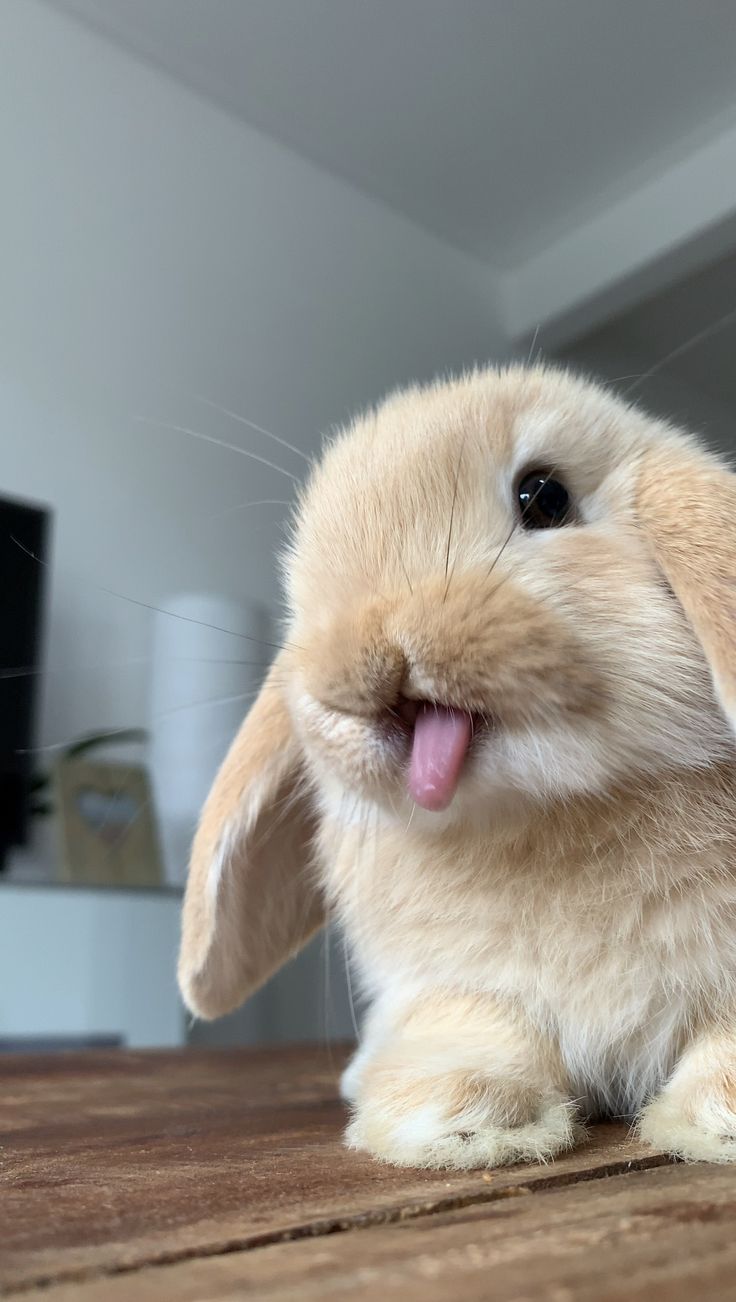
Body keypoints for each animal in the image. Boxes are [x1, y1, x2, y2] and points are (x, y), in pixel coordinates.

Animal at [175, 364, 736, 1171]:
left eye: (546, 496)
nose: (365, 652)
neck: (544, 814)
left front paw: (716, 1119)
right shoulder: (454, 983)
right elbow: (479, 1026)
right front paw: (455, 1119)